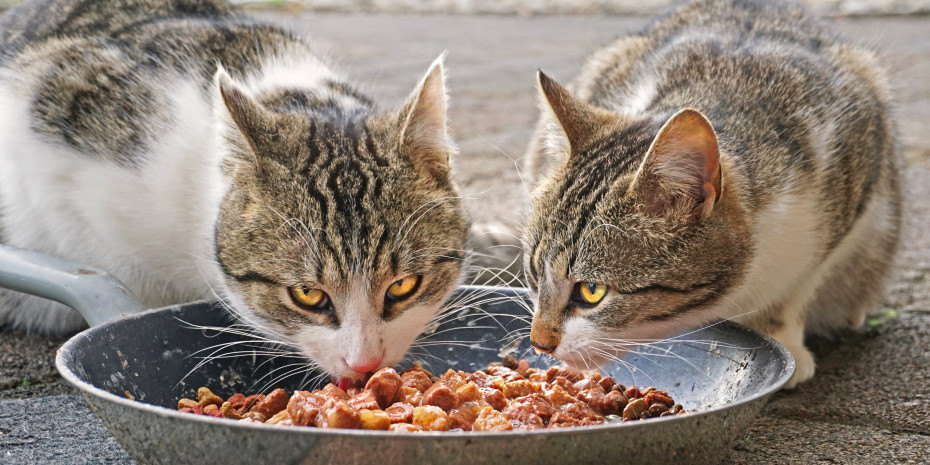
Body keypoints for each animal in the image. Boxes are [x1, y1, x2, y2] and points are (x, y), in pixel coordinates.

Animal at [520, 0, 900, 386]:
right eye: (534, 273)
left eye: (591, 291)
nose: (539, 342)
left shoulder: (852, 177)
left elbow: (797, 289)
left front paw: (785, 340)